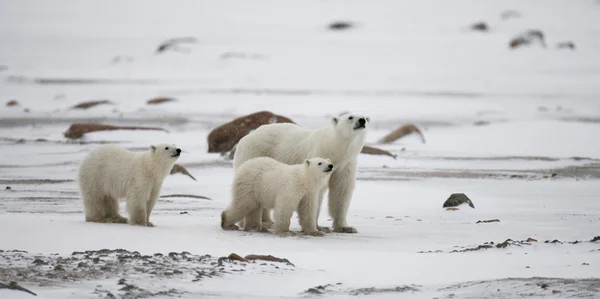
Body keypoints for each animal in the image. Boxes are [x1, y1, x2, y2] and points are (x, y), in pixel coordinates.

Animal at [234, 113, 370, 233]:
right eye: (350, 117)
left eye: (364, 116)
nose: (362, 120)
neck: (335, 149)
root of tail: (245, 137)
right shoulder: (318, 155)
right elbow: (317, 192)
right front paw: (318, 227)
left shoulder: (346, 164)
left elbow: (341, 191)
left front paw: (346, 227)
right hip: (255, 153)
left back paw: (267, 221)